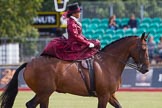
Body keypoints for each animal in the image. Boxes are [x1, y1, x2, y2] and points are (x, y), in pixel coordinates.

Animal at [0, 33, 149, 108]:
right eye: (143, 49)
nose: (146, 69)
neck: (107, 63)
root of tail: (29, 63)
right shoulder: (103, 96)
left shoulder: (110, 95)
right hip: (45, 92)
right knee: (32, 105)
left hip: (43, 94)